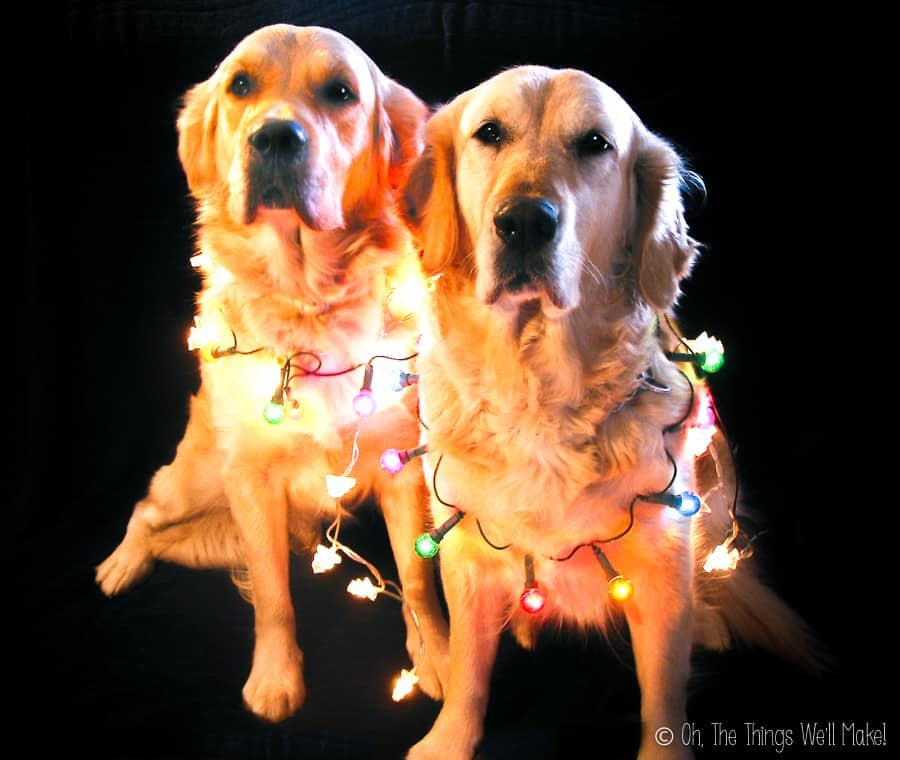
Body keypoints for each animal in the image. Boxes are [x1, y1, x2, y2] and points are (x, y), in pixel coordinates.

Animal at [94, 23, 450, 720]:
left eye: (340, 92)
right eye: (240, 86)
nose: (276, 137)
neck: (306, 301)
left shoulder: (400, 465)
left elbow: (419, 579)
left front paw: (436, 660)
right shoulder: (252, 485)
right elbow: (274, 598)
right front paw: (275, 678)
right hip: (196, 477)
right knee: (146, 510)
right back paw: (121, 564)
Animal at [400, 67, 816, 760]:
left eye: (594, 144)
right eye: (489, 133)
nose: (524, 222)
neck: (538, 392)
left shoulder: (659, 561)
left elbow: (662, 691)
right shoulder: (464, 550)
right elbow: (466, 669)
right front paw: (447, 741)